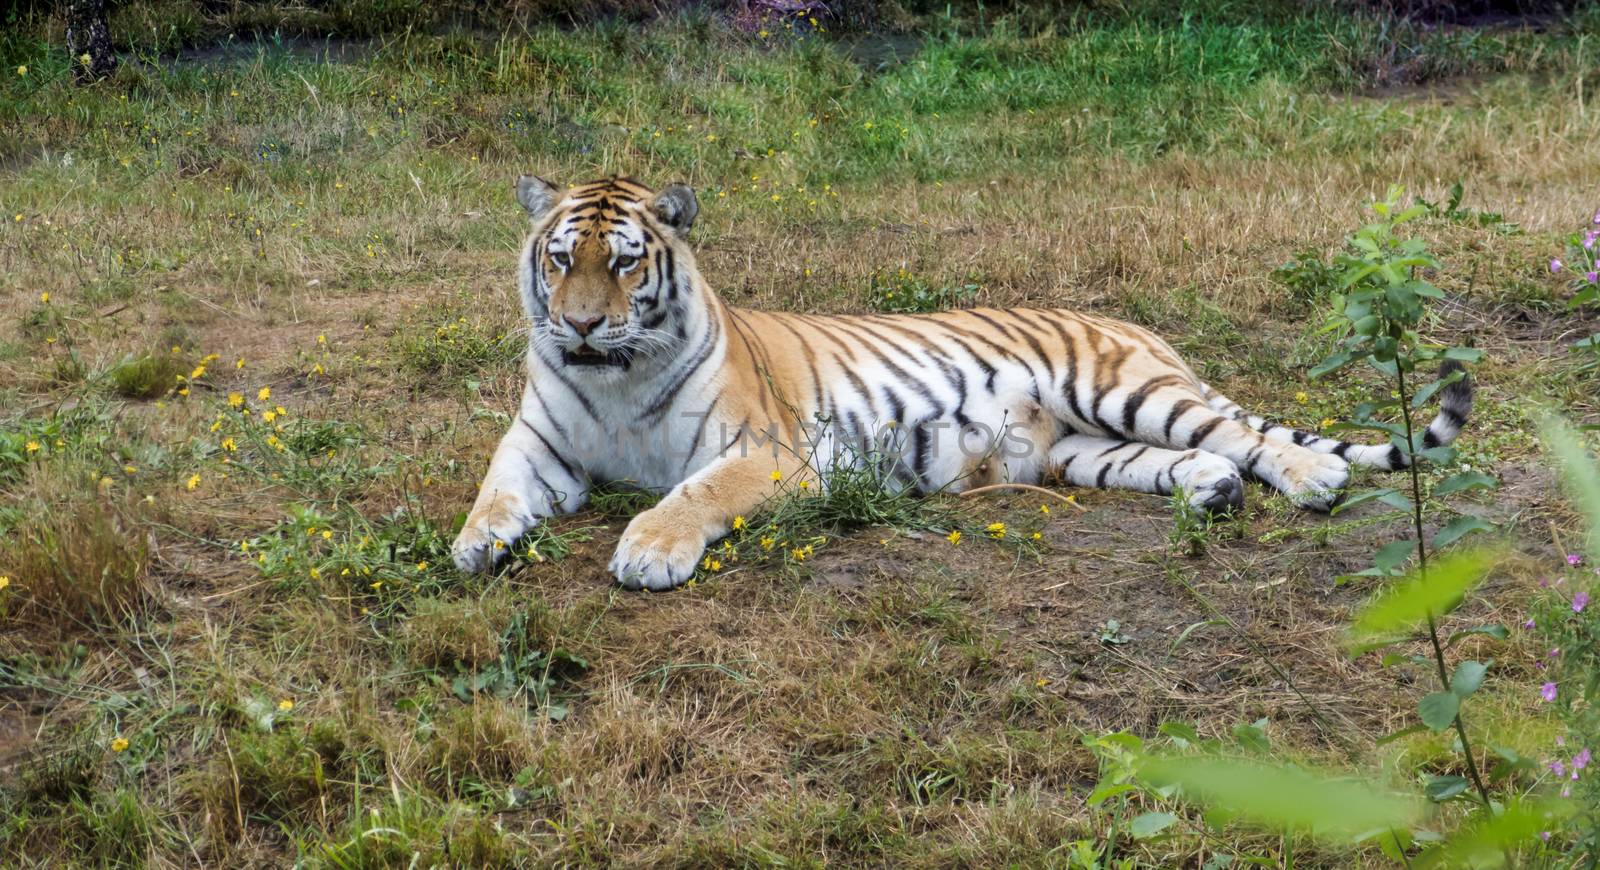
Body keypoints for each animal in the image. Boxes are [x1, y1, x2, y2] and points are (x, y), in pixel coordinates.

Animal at [451, 173, 1472, 588]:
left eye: (624, 264)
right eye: (560, 260)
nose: (581, 324)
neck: (615, 378)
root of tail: (1132, 322)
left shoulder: (766, 455)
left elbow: (691, 495)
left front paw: (649, 549)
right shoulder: (538, 445)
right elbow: (495, 491)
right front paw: (476, 545)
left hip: (1125, 391)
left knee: (1248, 435)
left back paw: (1312, 479)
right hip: (1082, 451)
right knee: (1188, 460)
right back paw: (1214, 494)